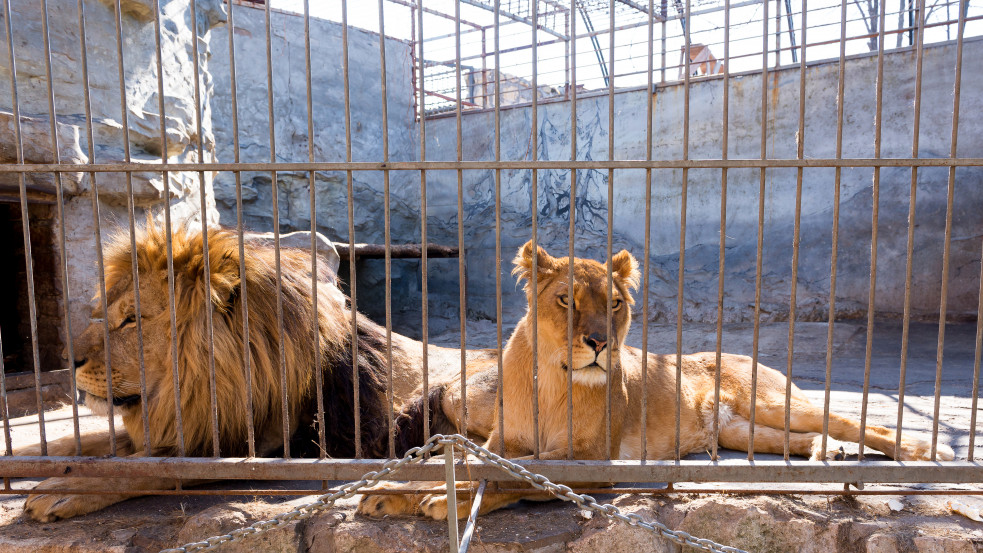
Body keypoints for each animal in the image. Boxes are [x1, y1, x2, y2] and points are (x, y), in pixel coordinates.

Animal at [15, 222, 468, 520]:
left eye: (131, 320)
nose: (68, 358)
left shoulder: (253, 446)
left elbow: (147, 467)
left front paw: (57, 491)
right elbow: (79, 442)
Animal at [360, 240, 952, 516]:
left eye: (616, 304)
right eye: (566, 301)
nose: (600, 343)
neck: (552, 381)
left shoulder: (594, 465)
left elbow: (515, 478)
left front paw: (445, 502)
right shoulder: (504, 439)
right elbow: (470, 463)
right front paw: (391, 492)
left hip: (772, 402)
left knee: (855, 422)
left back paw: (926, 451)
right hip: (737, 429)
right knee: (799, 438)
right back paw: (822, 455)